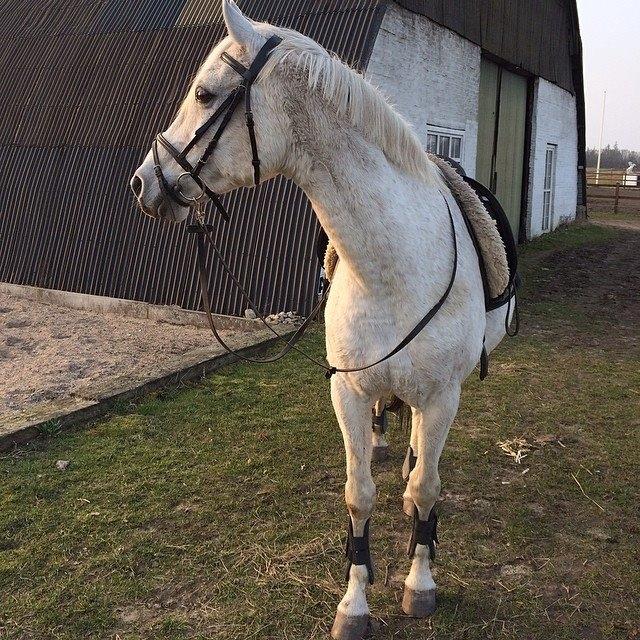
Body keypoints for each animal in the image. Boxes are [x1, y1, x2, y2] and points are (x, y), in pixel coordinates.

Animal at [130, 2, 514, 637]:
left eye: (206, 95)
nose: (143, 183)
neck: (392, 266)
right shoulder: (350, 393)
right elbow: (359, 495)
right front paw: (354, 603)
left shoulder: (442, 396)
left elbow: (425, 488)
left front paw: (420, 583)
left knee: (419, 460)